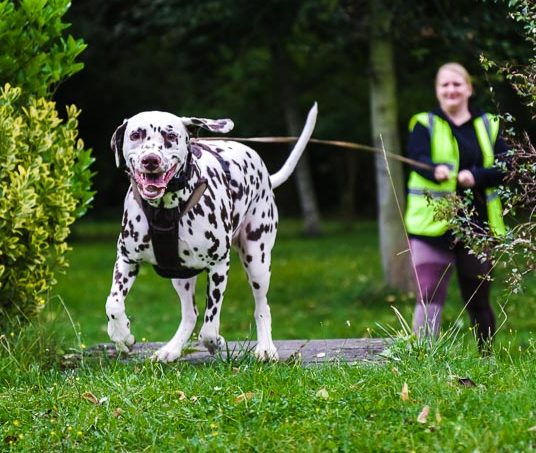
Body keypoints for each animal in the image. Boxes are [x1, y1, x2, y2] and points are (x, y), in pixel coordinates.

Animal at [107, 102, 318, 360]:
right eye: (136, 135)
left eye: (170, 136)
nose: (151, 160)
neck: (165, 208)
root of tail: (265, 173)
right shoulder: (127, 260)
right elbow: (113, 304)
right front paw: (122, 335)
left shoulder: (218, 266)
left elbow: (209, 327)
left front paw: (216, 341)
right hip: (181, 276)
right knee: (190, 314)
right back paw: (171, 349)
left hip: (257, 261)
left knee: (262, 306)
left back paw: (265, 348)